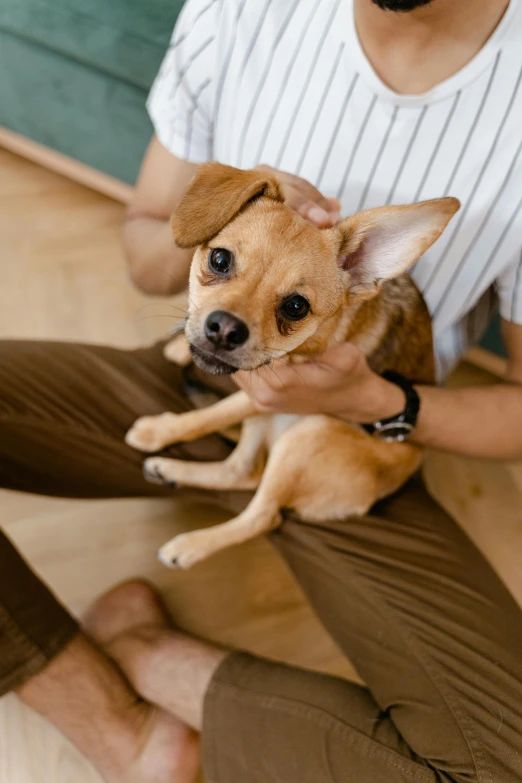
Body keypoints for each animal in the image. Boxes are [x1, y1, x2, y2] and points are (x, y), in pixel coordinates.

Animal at [124, 165, 458, 568]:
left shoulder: (268, 392)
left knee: (263, 516)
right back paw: (170, 471)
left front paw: (156, 431)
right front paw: (178, 346)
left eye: (296, 307)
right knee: (242, 471)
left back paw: (188, 547)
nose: (225, 329)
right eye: (219, 260)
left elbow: (207, 417)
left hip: (308, 435)